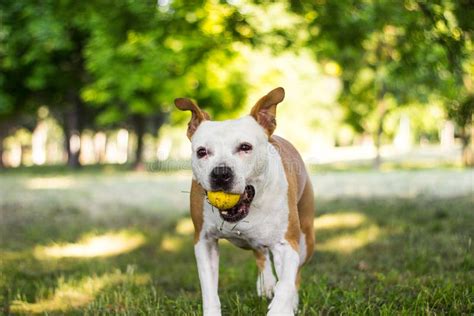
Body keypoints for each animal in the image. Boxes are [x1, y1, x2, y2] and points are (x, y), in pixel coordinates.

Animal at [174, 87, 314, 316]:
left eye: (245, 147)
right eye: (202, 151)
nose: (220, 173)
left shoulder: (288, 243)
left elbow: (286, 284)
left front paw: (282, 307)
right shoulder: (204, 241)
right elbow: (209, 290)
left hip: (306, 239)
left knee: (294, 274)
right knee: (261, 253)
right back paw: (266, 284)